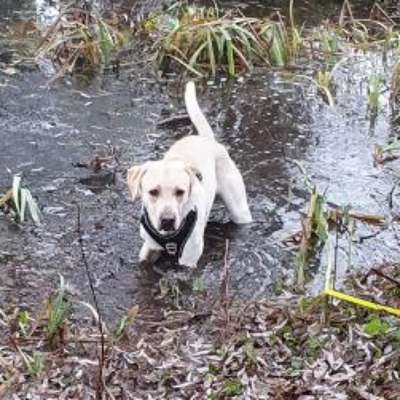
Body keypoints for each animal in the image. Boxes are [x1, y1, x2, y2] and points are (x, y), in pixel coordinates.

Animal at [128, 81, 252, 268]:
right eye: (153, 192)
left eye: (180, 192)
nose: (167, 220)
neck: (168, 238)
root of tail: (207, 139)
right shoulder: (149, 247)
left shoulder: (188, 259)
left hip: (239, 208)